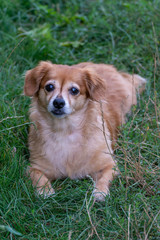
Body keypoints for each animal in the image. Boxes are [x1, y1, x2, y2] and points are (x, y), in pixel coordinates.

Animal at [24, 61, 146, 201]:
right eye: (49, 87)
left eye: (74, 90)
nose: (58, 102)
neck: (64, 131)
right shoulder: (34, 167)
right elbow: (38, 176)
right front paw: (45, 191)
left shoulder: (110, 165)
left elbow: (104, 178)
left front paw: (100, 192)